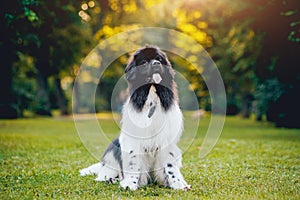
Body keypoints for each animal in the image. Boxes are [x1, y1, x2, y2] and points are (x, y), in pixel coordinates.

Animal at [80, 45, 190, 191]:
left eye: (159, 59)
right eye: (144, 62)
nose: (156, 64)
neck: (151, 99)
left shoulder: (166, 140)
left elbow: (169, 165)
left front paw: (177, 183)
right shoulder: (133, 140)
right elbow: (134, 162)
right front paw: (130, 183)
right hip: (114, 148)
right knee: (107, 172)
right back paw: (112, 179)